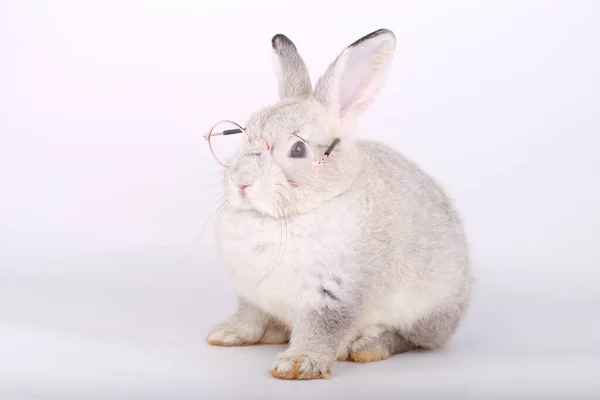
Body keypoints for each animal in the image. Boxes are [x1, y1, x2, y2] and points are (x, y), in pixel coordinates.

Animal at [206, 28, 474, 382]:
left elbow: (320, 330)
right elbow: (250, 317)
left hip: (424, 309)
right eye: (244, 135)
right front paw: (226, 334)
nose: (242, 183)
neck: (284, 217)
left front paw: (297, 365)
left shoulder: (331, 297)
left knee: (410, 338)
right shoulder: (252, 296)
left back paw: (365, 347)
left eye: (297, 150)